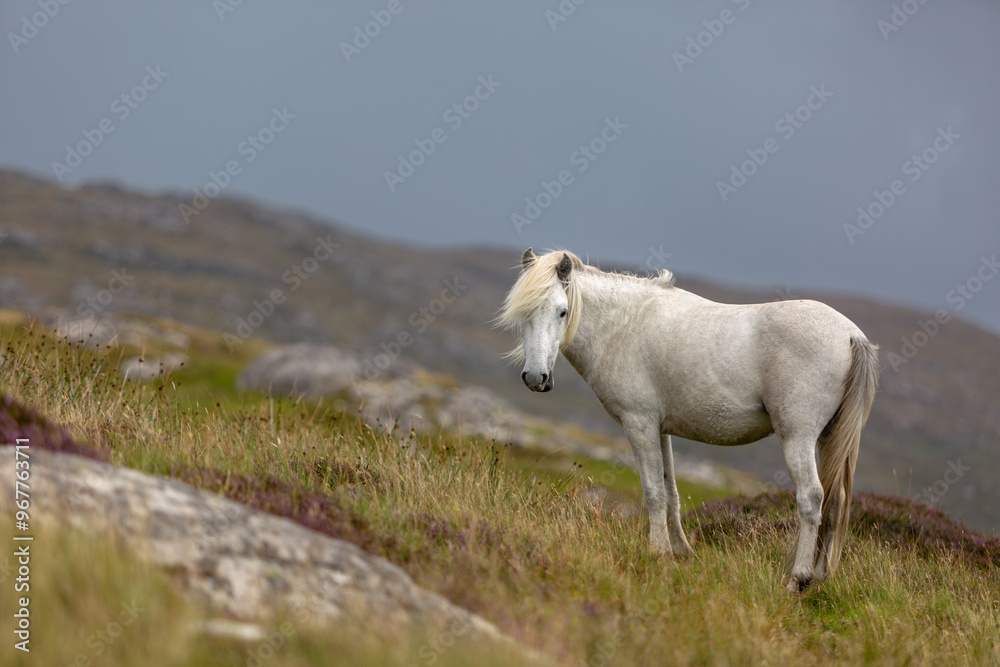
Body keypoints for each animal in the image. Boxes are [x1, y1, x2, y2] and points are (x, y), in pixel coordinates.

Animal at [497, 248, 878, 591]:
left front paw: (657, 553)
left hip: (798, 437)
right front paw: (680, 552)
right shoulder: (660, 430)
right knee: (837, 500)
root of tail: (850, 335)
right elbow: (671, 492)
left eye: (562, 311)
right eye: (523, 313)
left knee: (812, 498)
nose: (536, 378)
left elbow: (653, 492)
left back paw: (798, 579)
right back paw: (823, 577)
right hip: (829, 438)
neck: (623, 325)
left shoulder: (639, 425)